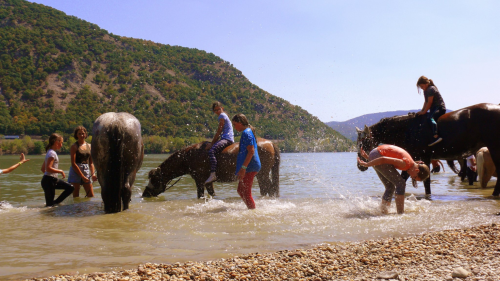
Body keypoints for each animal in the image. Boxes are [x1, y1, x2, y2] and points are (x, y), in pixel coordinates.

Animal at [143, 138, 280, 197]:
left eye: (155, 179)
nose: (145, 194)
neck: (189, 157)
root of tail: (270, 142)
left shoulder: (199, 181)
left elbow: (201, 195)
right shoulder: (207, 182)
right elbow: (212, 194)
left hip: (263, 174)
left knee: (269, 188)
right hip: (259, 175)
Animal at [356, 101, 500, 196]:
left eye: (365, 143)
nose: (360, 166)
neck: (408, 129)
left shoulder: (424, 157)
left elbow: (426, 182)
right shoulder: (413, 159)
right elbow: (403, 179)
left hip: (494, 148)